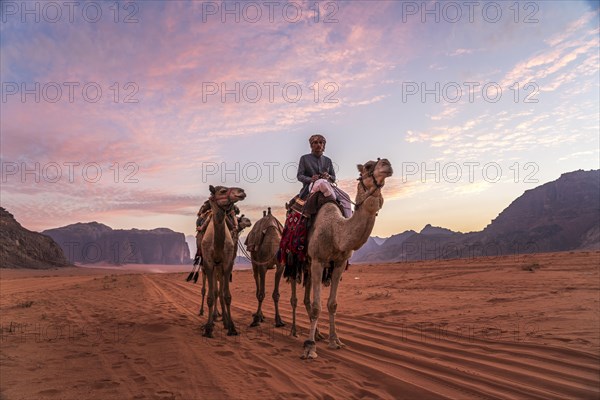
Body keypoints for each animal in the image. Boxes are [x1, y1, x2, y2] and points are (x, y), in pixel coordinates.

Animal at [202, 185, 246, 338]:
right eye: (222, 191)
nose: (241, 192)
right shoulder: (209, 264)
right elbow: (211, 296)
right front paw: (208, 328)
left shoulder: (227, 264)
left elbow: (226, 296)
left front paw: (231, 327)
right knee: (214, 292)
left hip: (220, 268)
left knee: (220, 293)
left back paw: (225, 321)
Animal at [294, 159, 394, 360]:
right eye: (368, 166)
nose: (387, 164)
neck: (336, 231)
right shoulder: (318, 260)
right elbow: (317, 306)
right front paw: (309, 347)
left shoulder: (338, 263)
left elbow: (332, 304)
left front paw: (335, 341)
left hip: (308, 265)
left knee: (306, 298)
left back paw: (318, 334)